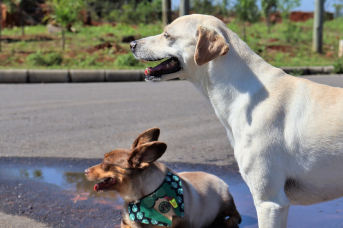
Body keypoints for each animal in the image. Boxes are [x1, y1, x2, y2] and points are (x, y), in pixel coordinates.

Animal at [84, 128, 241, 228]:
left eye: (105, 163)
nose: (85, 171)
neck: (142, 199)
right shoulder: (126, 224)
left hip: (226, 202)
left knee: (236, 215)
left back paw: (231, 221)